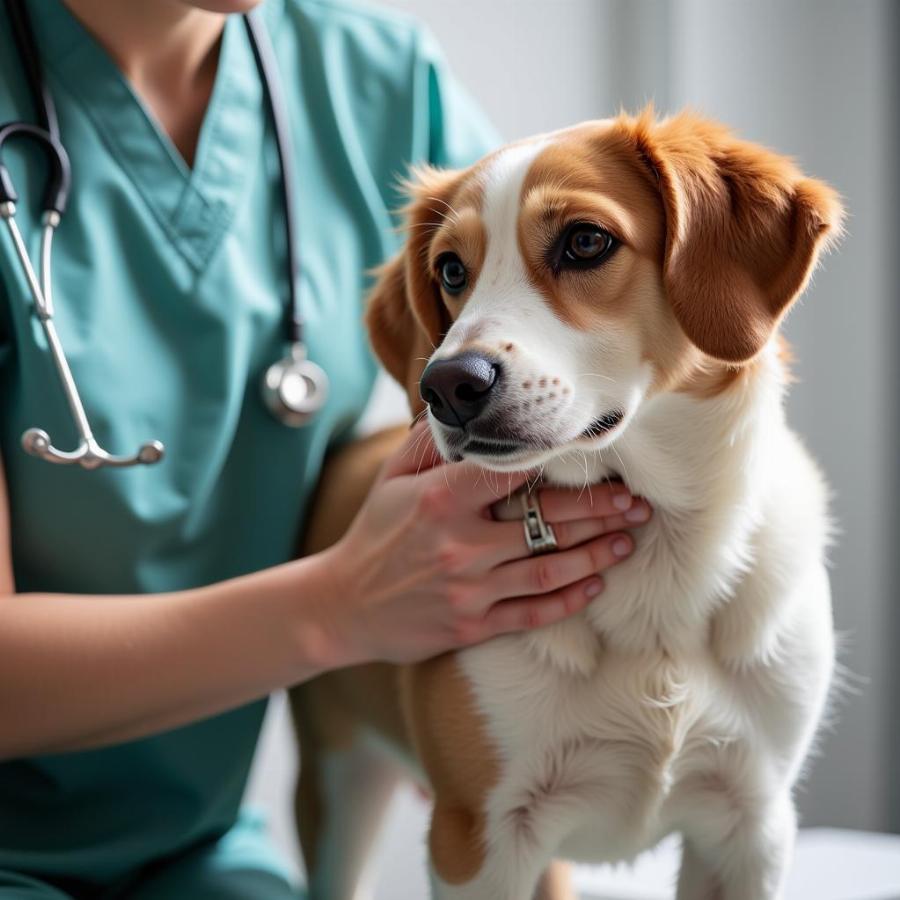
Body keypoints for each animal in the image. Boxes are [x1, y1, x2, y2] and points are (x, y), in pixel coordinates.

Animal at [294, 110, 844, 900]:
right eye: (450, 271)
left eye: (586, 242)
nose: (446, 386)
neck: (664, 560)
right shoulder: (476, 840)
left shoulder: (753, 827)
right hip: (340, 787)